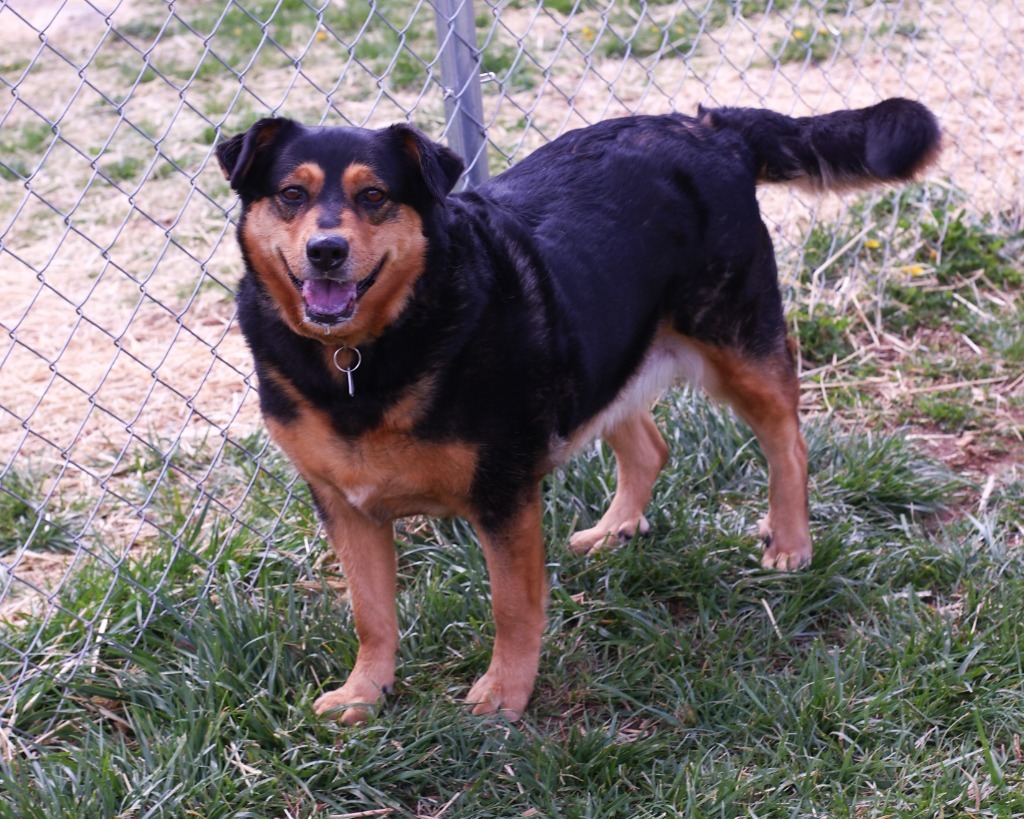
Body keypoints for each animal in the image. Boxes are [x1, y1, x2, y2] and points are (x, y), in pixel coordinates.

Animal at [216, 97, 937, 724]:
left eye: (374, 197)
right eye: (291, 194)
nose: (326, 251)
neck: (361, 353)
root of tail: (706, 124)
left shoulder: (503, 496)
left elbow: (512, 607)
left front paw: (504, 695)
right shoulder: (345, 506)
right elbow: (371, 614)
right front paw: (366, 693)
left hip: (738, 343)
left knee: (787, 439)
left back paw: (789, 540)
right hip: (602, 351)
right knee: (650, 446)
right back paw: (616, 530)